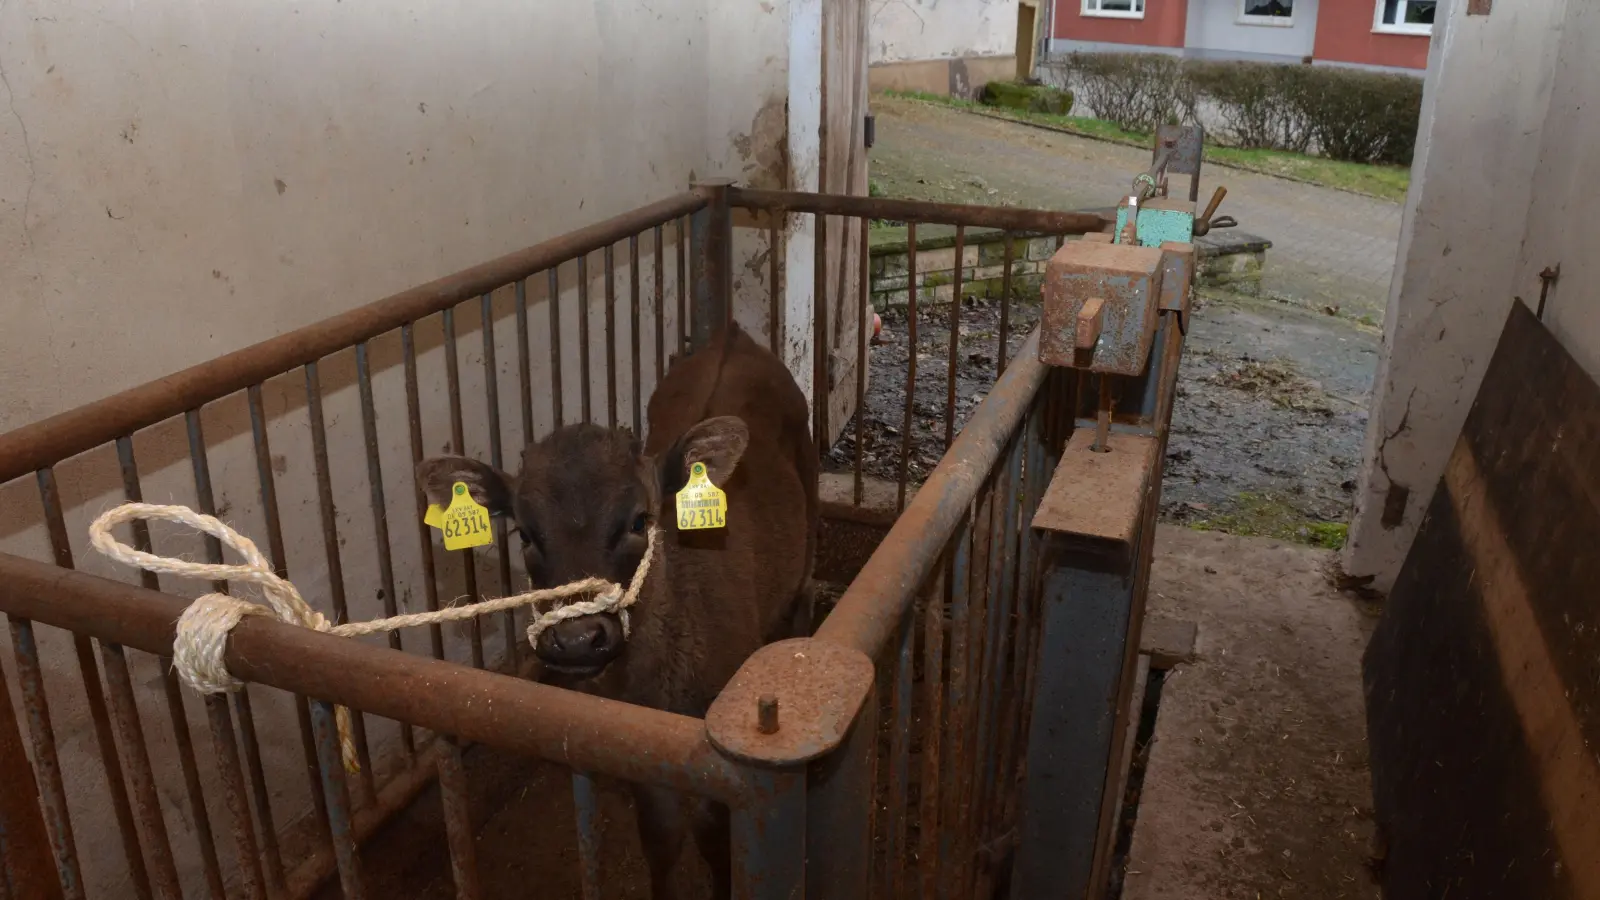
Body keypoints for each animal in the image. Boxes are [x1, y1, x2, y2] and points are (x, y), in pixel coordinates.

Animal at [419, 318, 819, 890]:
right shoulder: (641, 754)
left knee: (805, 590)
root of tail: (733, 335)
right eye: (524, 533)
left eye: (637, 520)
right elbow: (661, 837)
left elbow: (716, 844)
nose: (576, 639)